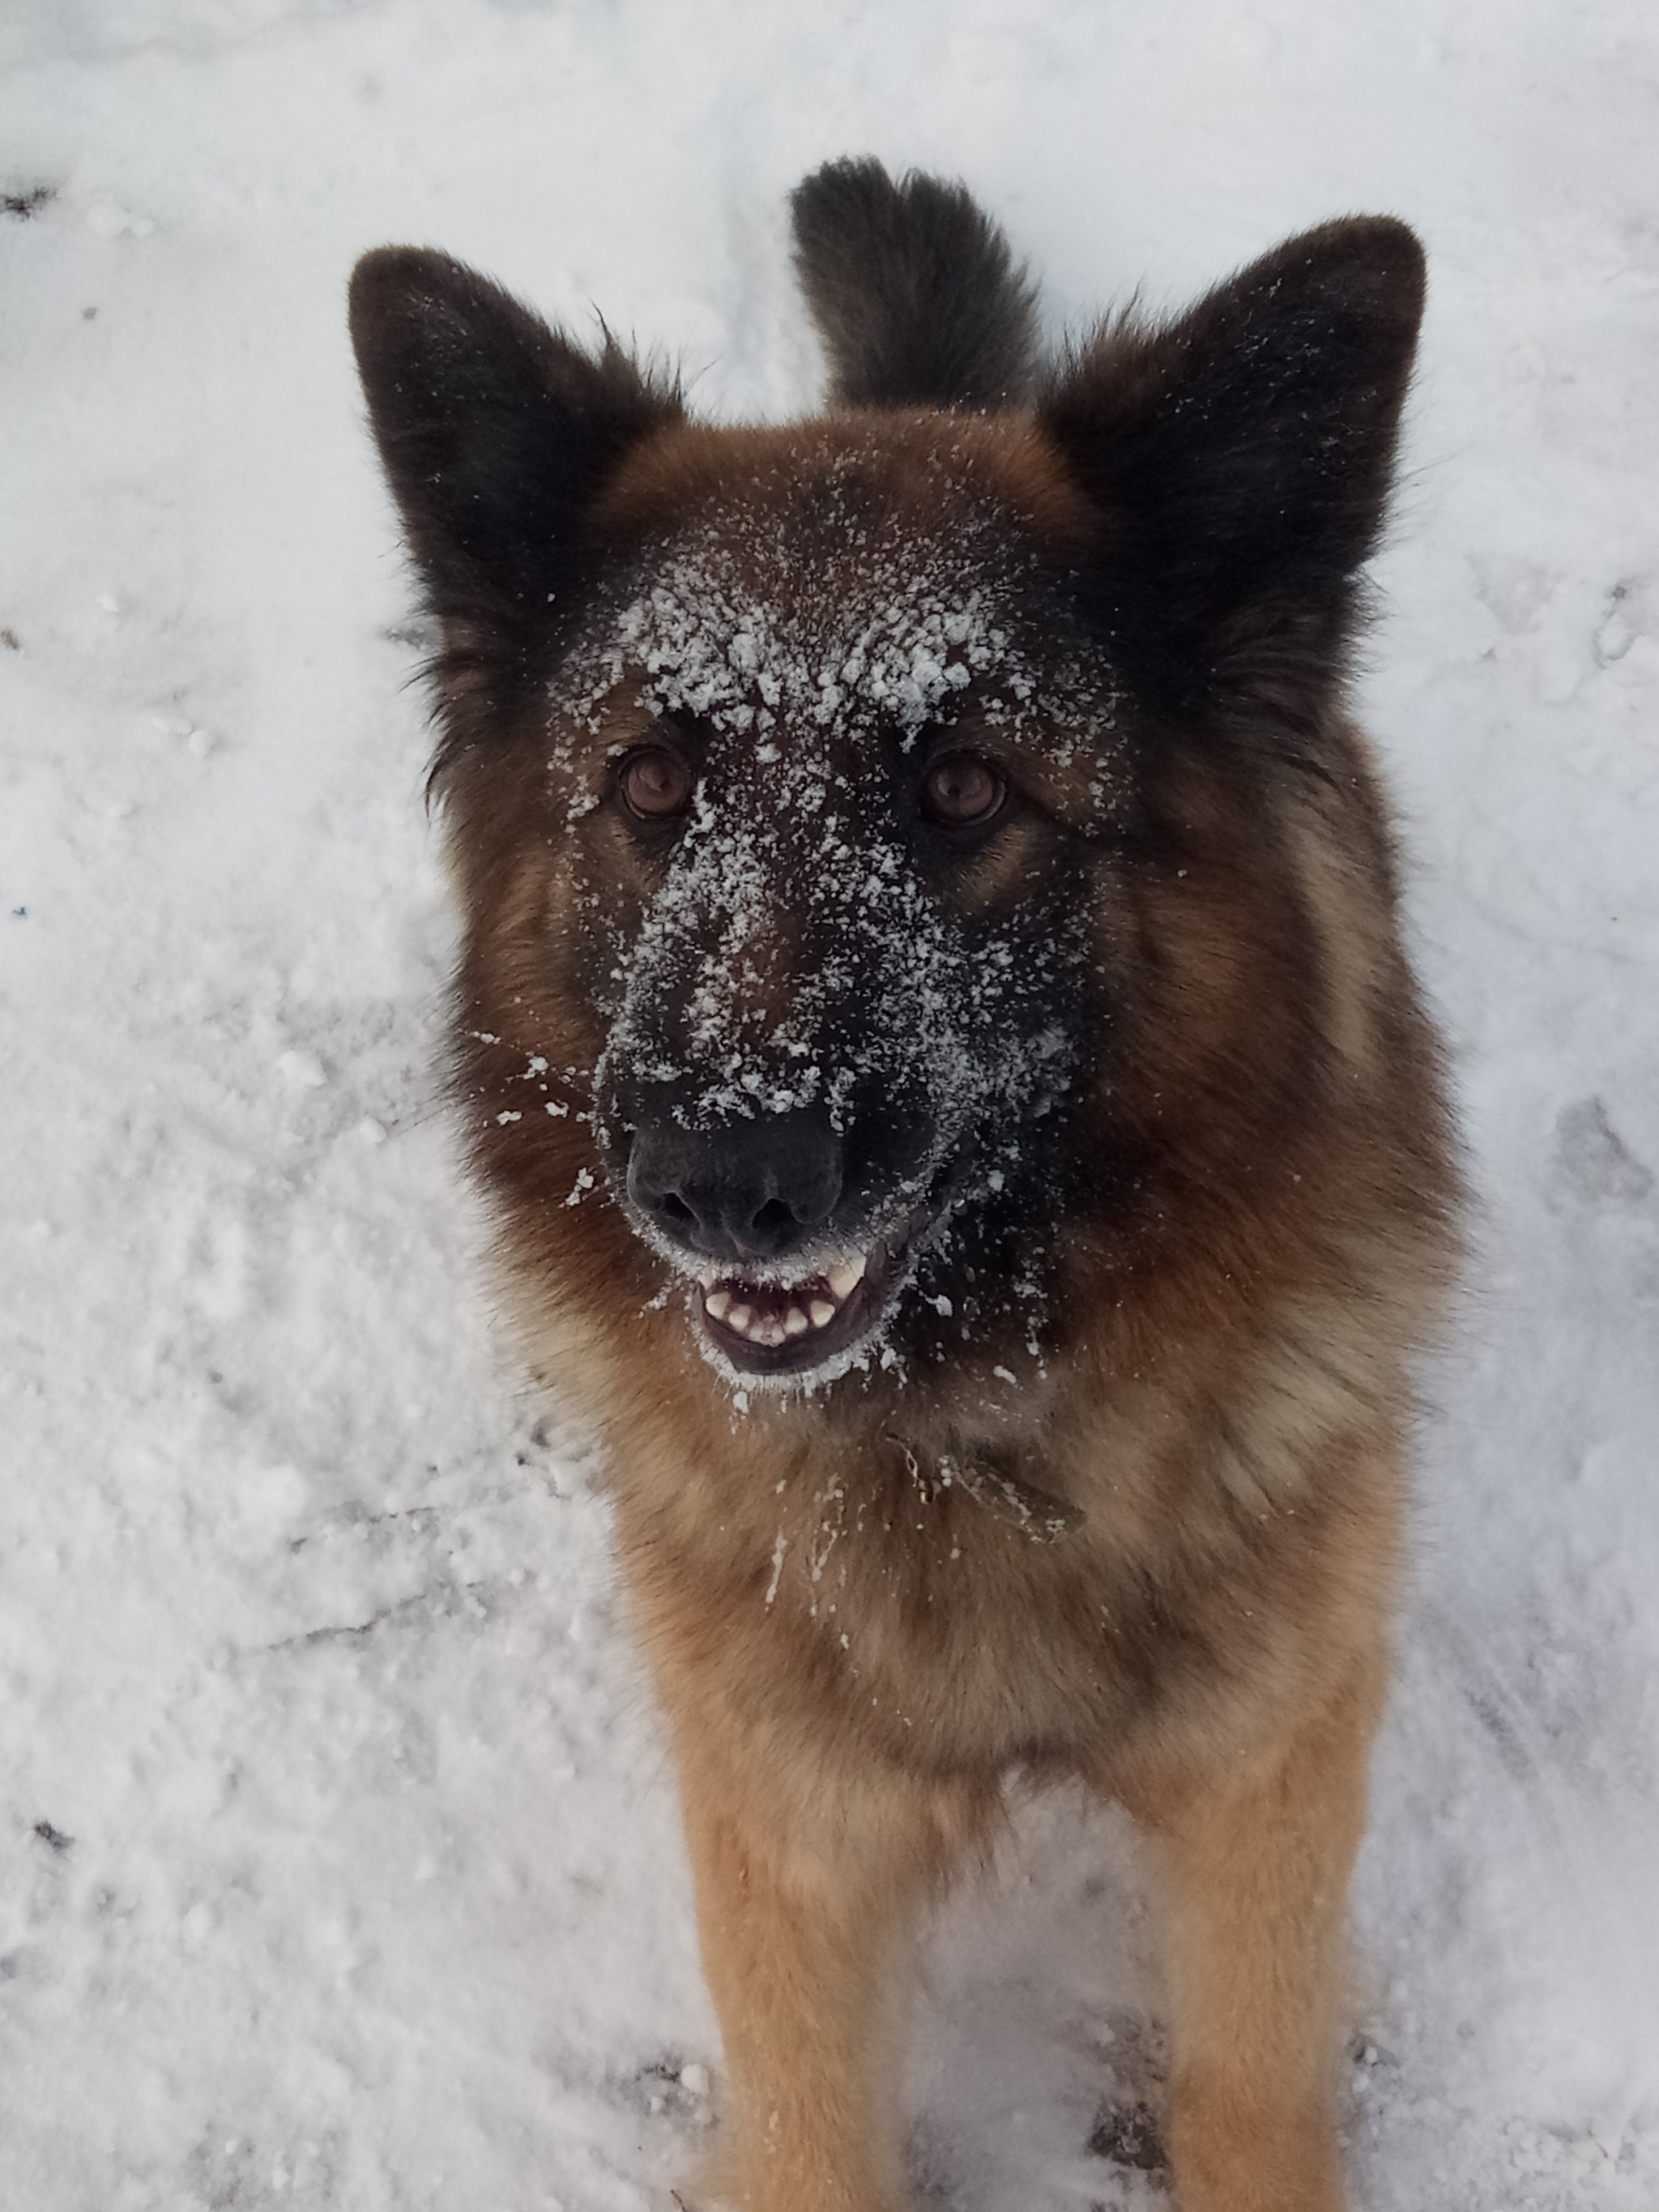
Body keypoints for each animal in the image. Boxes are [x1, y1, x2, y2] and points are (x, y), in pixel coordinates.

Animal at [352, 160, 1451, 2212]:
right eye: (648, 784)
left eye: (960, 789)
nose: (716, 1176)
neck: (967, 1422)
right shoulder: (785, 1833)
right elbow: (808, 2130)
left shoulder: (1270, 1787)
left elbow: (1248, 2098)